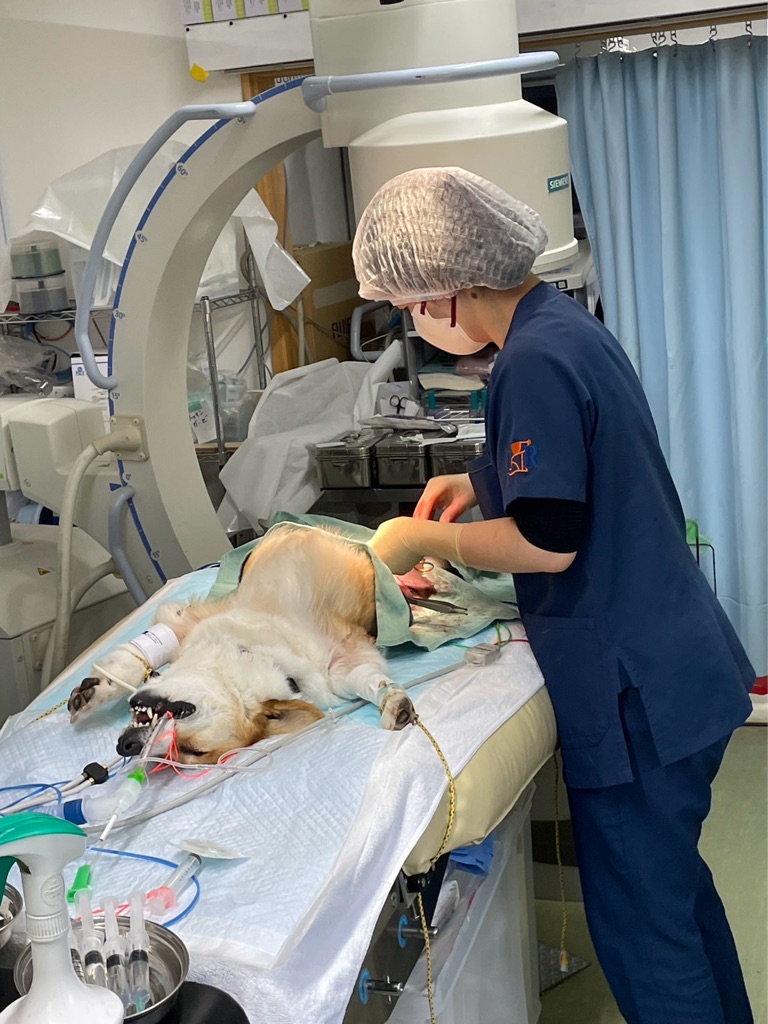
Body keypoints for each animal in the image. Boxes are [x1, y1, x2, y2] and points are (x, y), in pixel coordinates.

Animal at [67, 525, 416, 764]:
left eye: (192, 750)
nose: (126, 746)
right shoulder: (185, 619)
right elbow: (134, 657)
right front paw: (94, 691)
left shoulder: (348, 656)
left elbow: (367, 677)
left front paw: (393, 701)